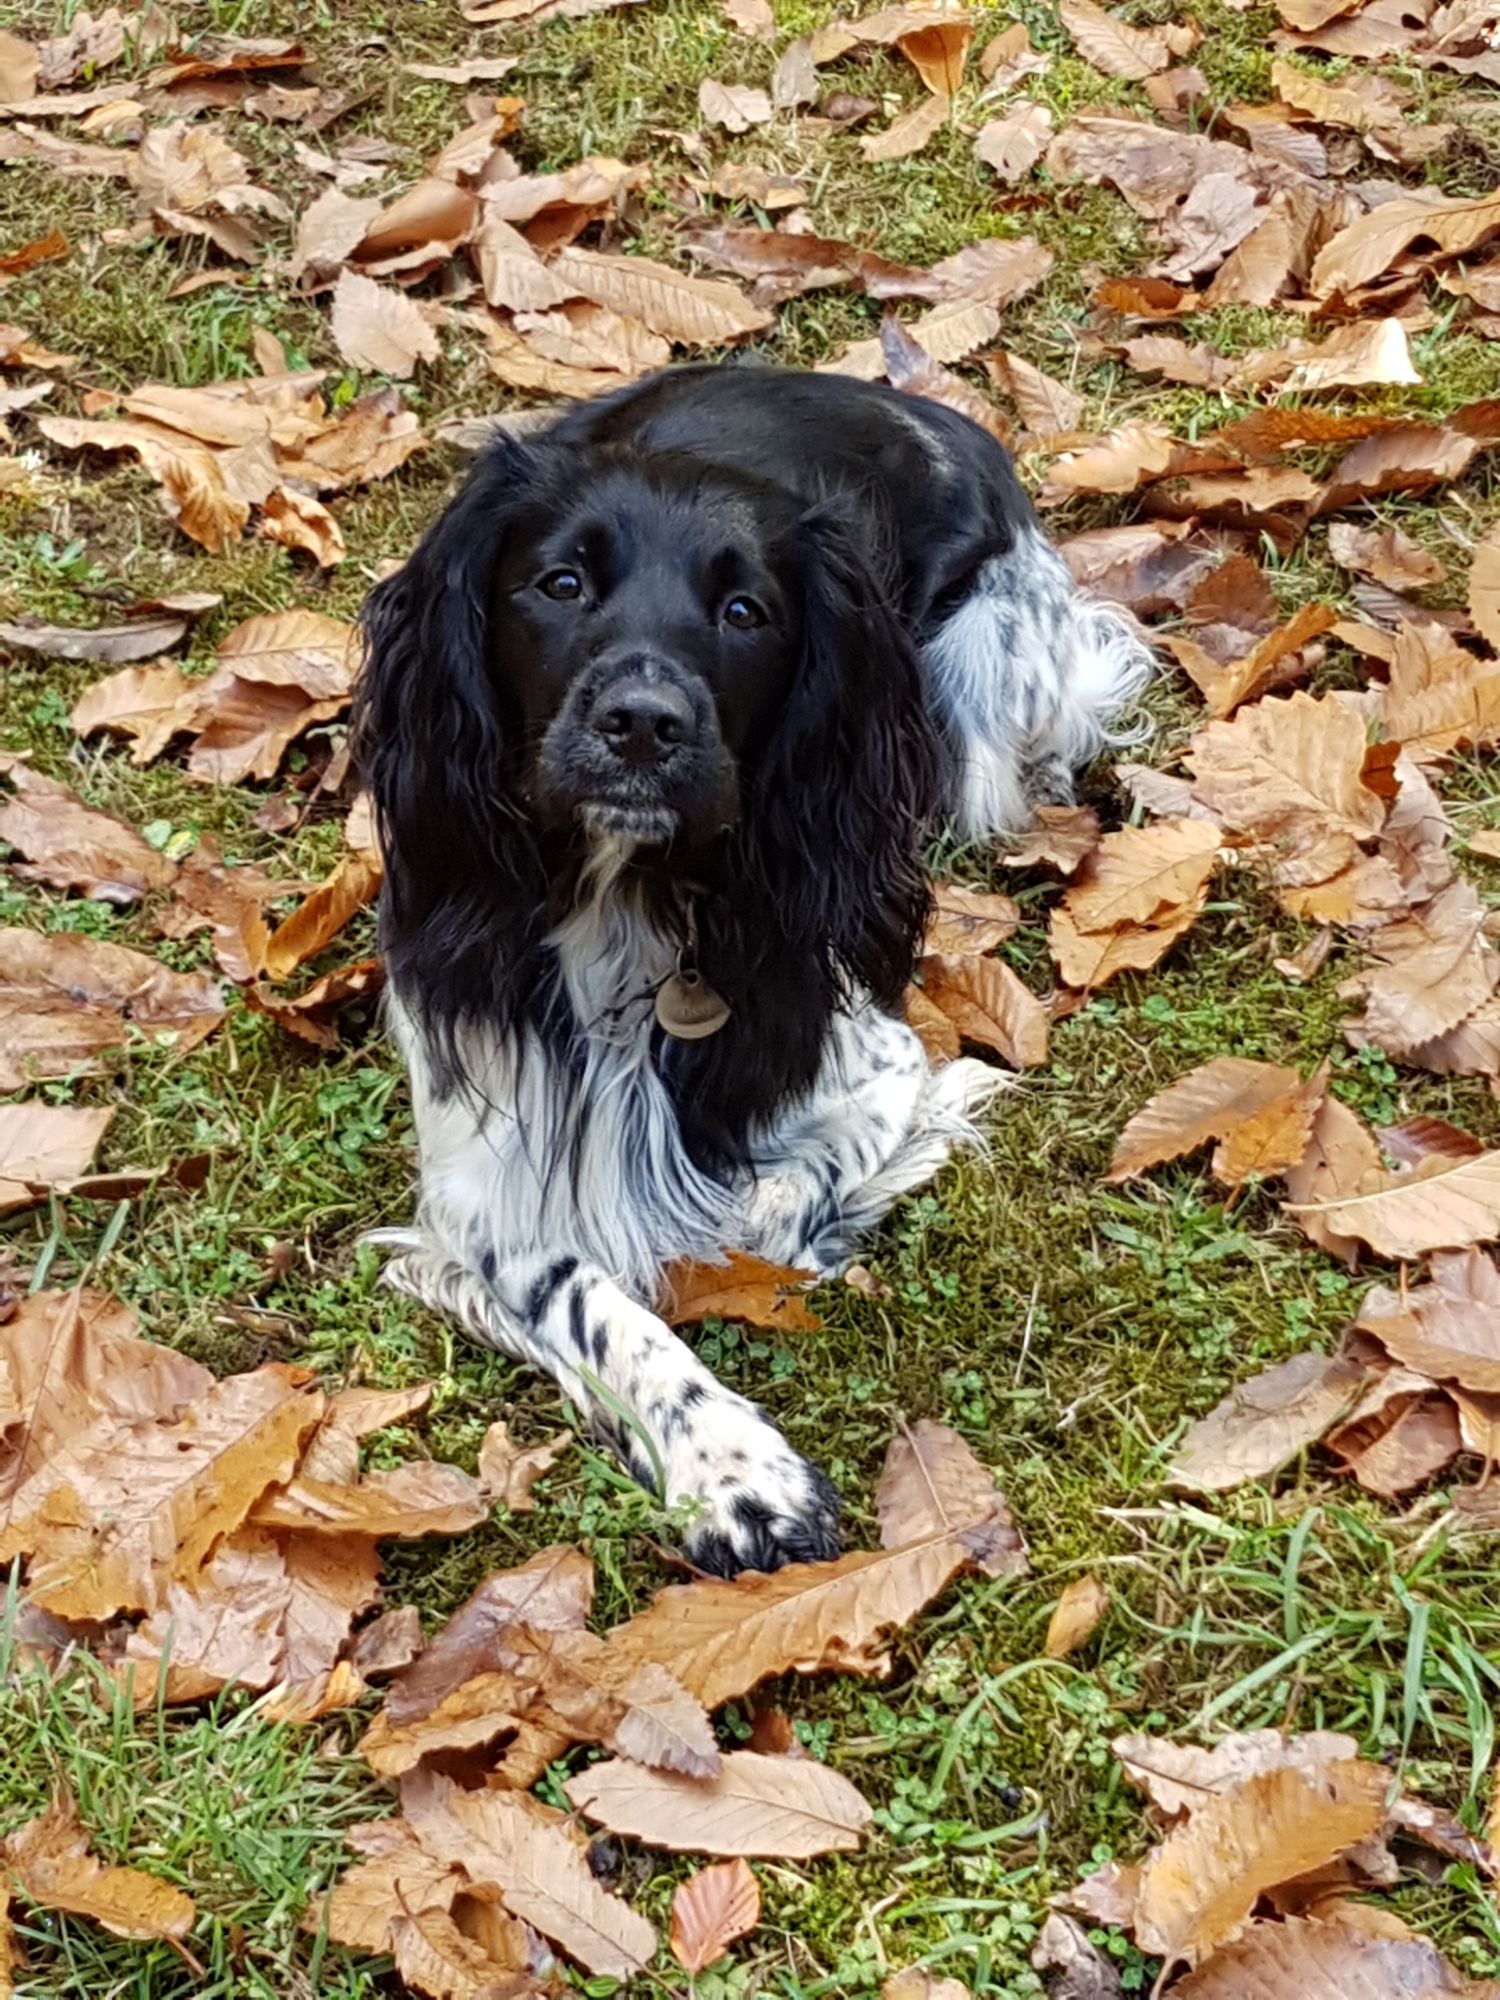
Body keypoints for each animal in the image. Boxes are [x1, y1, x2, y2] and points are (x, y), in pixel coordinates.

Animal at [356, 362, 1149, 1575]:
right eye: (560, 582)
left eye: (745, 611)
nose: (642, 722)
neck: (626, 902)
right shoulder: (487, 1172)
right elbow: (593, 1297)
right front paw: (731, 1466)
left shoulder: (875, 1059)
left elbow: (761, 1209)